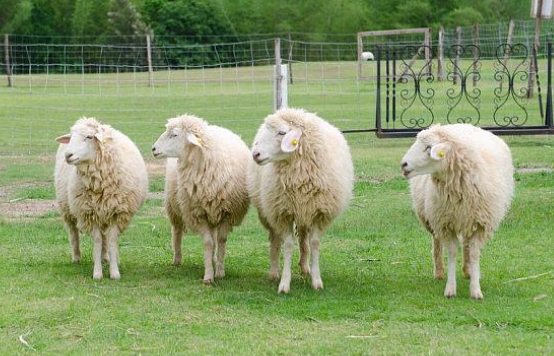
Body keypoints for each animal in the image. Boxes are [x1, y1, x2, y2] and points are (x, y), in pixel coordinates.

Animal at [54, 117, 148, 280]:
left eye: (89, 137)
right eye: (71, 137)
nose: (68, 155)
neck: (99, 185)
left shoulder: (117, 212)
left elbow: (111, 241)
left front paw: (114, 272)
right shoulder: (89, 213)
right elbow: (97, 242)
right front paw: (97, 273)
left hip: (104, 213)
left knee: (105, 238)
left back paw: (107, 258)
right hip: (67, 207)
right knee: (73, 233)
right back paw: (77, 257)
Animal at [149, 114, 248, 284]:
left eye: (174, 134)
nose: (154, 149)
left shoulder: (227, 213)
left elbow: (221, 240)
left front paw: (220, 271)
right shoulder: (198, 213)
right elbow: (208, 243)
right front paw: (208, 276)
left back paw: (213, 260)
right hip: (174, 206)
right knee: (176, 232)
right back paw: (177, 259)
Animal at [247, 107, 352, 294]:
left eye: (282, 133)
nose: (256, 154)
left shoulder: (320, 213)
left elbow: (314, 243)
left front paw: (316, 280)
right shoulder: (282, 213)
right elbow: (288, 244)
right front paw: (284, 283)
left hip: (304, 211)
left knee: (304, 239)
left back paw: (304, 267)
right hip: (269, 211)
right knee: (275, 240)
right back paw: (274, 271)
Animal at [398, 124, 512, 298]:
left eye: (429, 147)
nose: (403, 164)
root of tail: (462, 125)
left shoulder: (480, 224)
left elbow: (474, 254)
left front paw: (476, 290)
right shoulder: (446, 224)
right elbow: (451, 253)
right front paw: (450, 289)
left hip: (467, 219)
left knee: (466, 245)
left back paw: (468, 271)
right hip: (433, 218)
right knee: (437, 242)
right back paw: (439, 271)